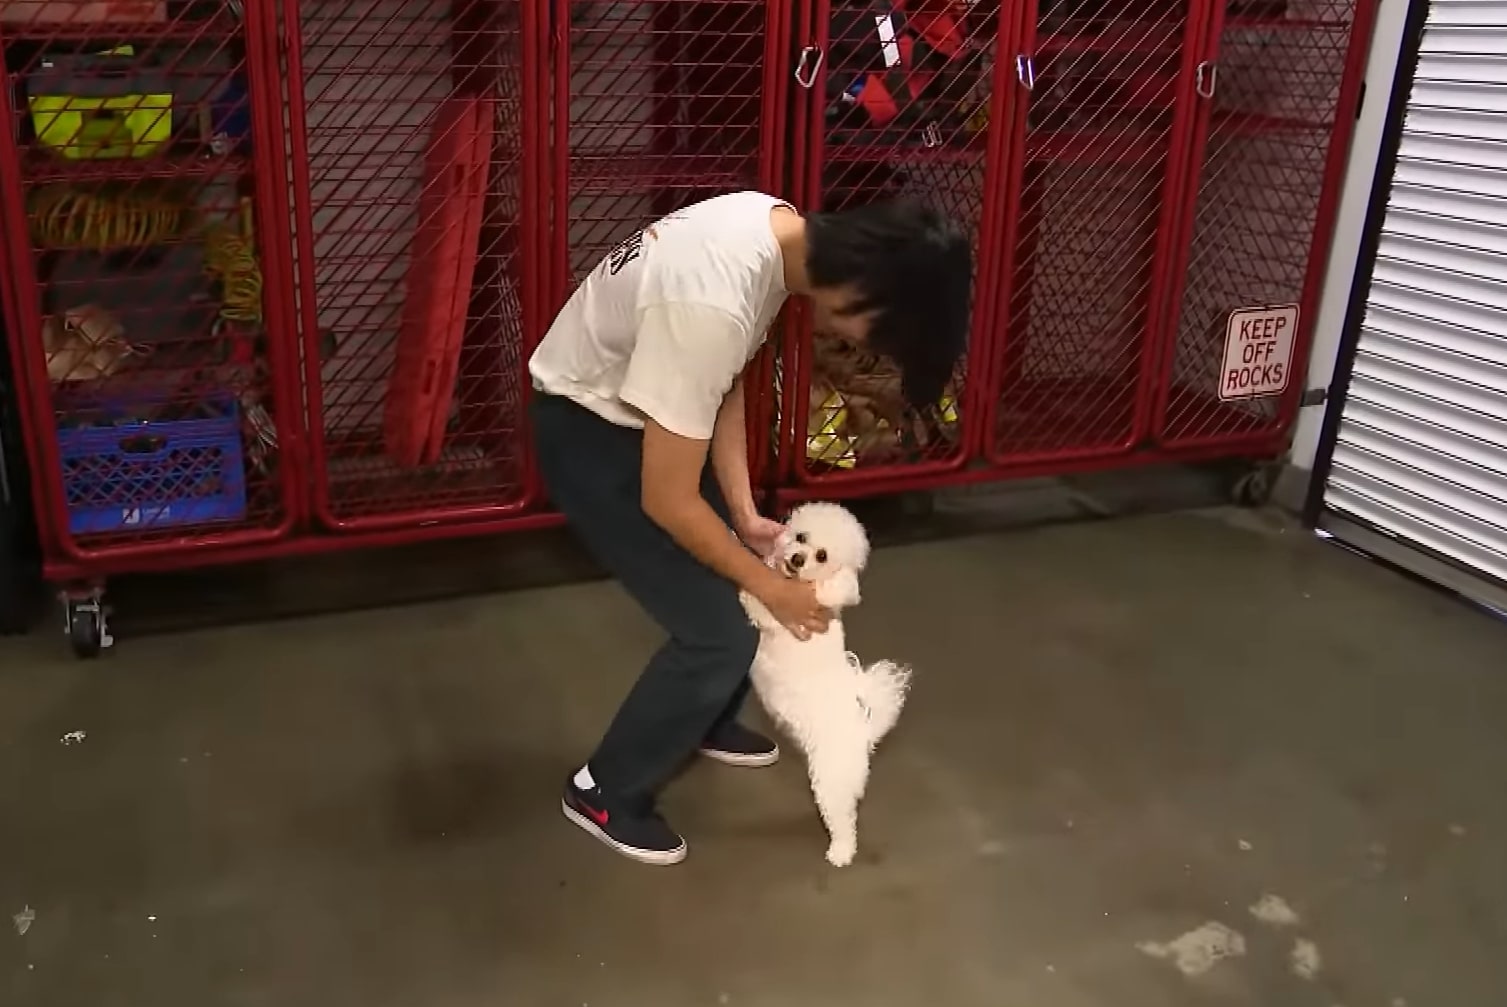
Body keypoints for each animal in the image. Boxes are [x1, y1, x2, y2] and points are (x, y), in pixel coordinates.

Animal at [738, 503, 910, 868]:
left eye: (822, 556)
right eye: (801, 537)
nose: (797, 558)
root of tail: (864, 734)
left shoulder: (783, 612)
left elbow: (761, 603)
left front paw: (749, 587)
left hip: (831, 780)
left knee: (843, 820)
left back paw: (841, 852)